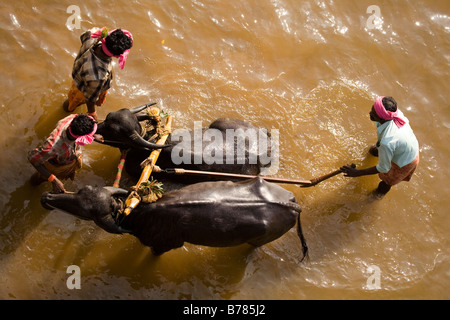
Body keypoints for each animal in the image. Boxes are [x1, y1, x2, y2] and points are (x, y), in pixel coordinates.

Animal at [41, 176, 310, 262]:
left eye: (89, 212)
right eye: (81, 191)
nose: (47, 196)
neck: (139, 213)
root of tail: (293, 203)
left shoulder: (163, 245)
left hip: (258, 241)